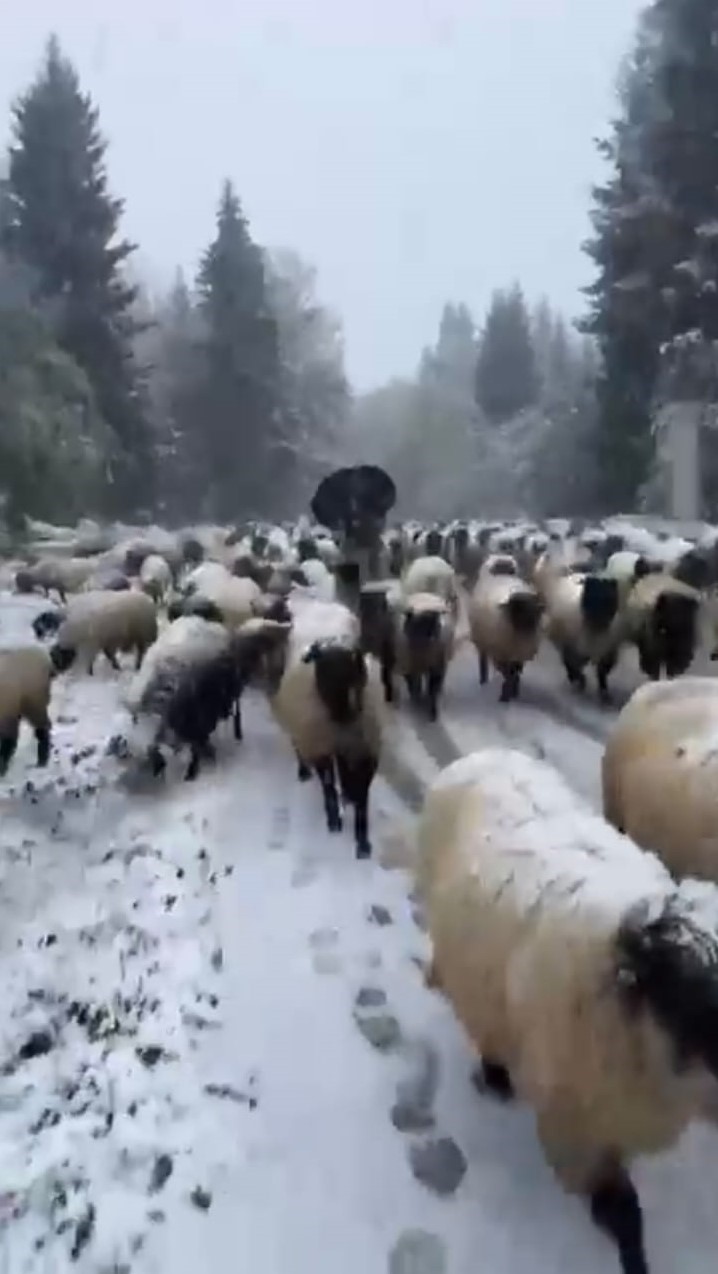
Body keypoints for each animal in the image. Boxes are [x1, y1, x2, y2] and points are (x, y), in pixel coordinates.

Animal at [271, 601, 381, 861]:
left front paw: (363, 842)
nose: (348, 707)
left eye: (353, 664)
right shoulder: (320, 748)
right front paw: (334, 820)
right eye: (324, 668)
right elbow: (329, 786)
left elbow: (361, 798)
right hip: (303, 728)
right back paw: (303, 771)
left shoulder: (365, 753)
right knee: (298, 745)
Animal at [468, 573, 542, 703]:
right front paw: (505, 695)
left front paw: (514, 691)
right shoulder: (501, 655)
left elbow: (514, 674)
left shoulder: (519, 656)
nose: (529, 625)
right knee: (483, 659)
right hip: (482, 642)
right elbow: (507, 675)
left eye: (534, 609)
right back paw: (483, 680)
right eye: (516, 607)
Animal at [547, 573, 626, 703]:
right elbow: (573, 665)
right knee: (569, 663)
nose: (601, 616)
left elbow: (602, 670)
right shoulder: (572, 647)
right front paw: (580, 681)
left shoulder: (608, 650)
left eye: (609, 599)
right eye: (592, 597)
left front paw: (604, 692)